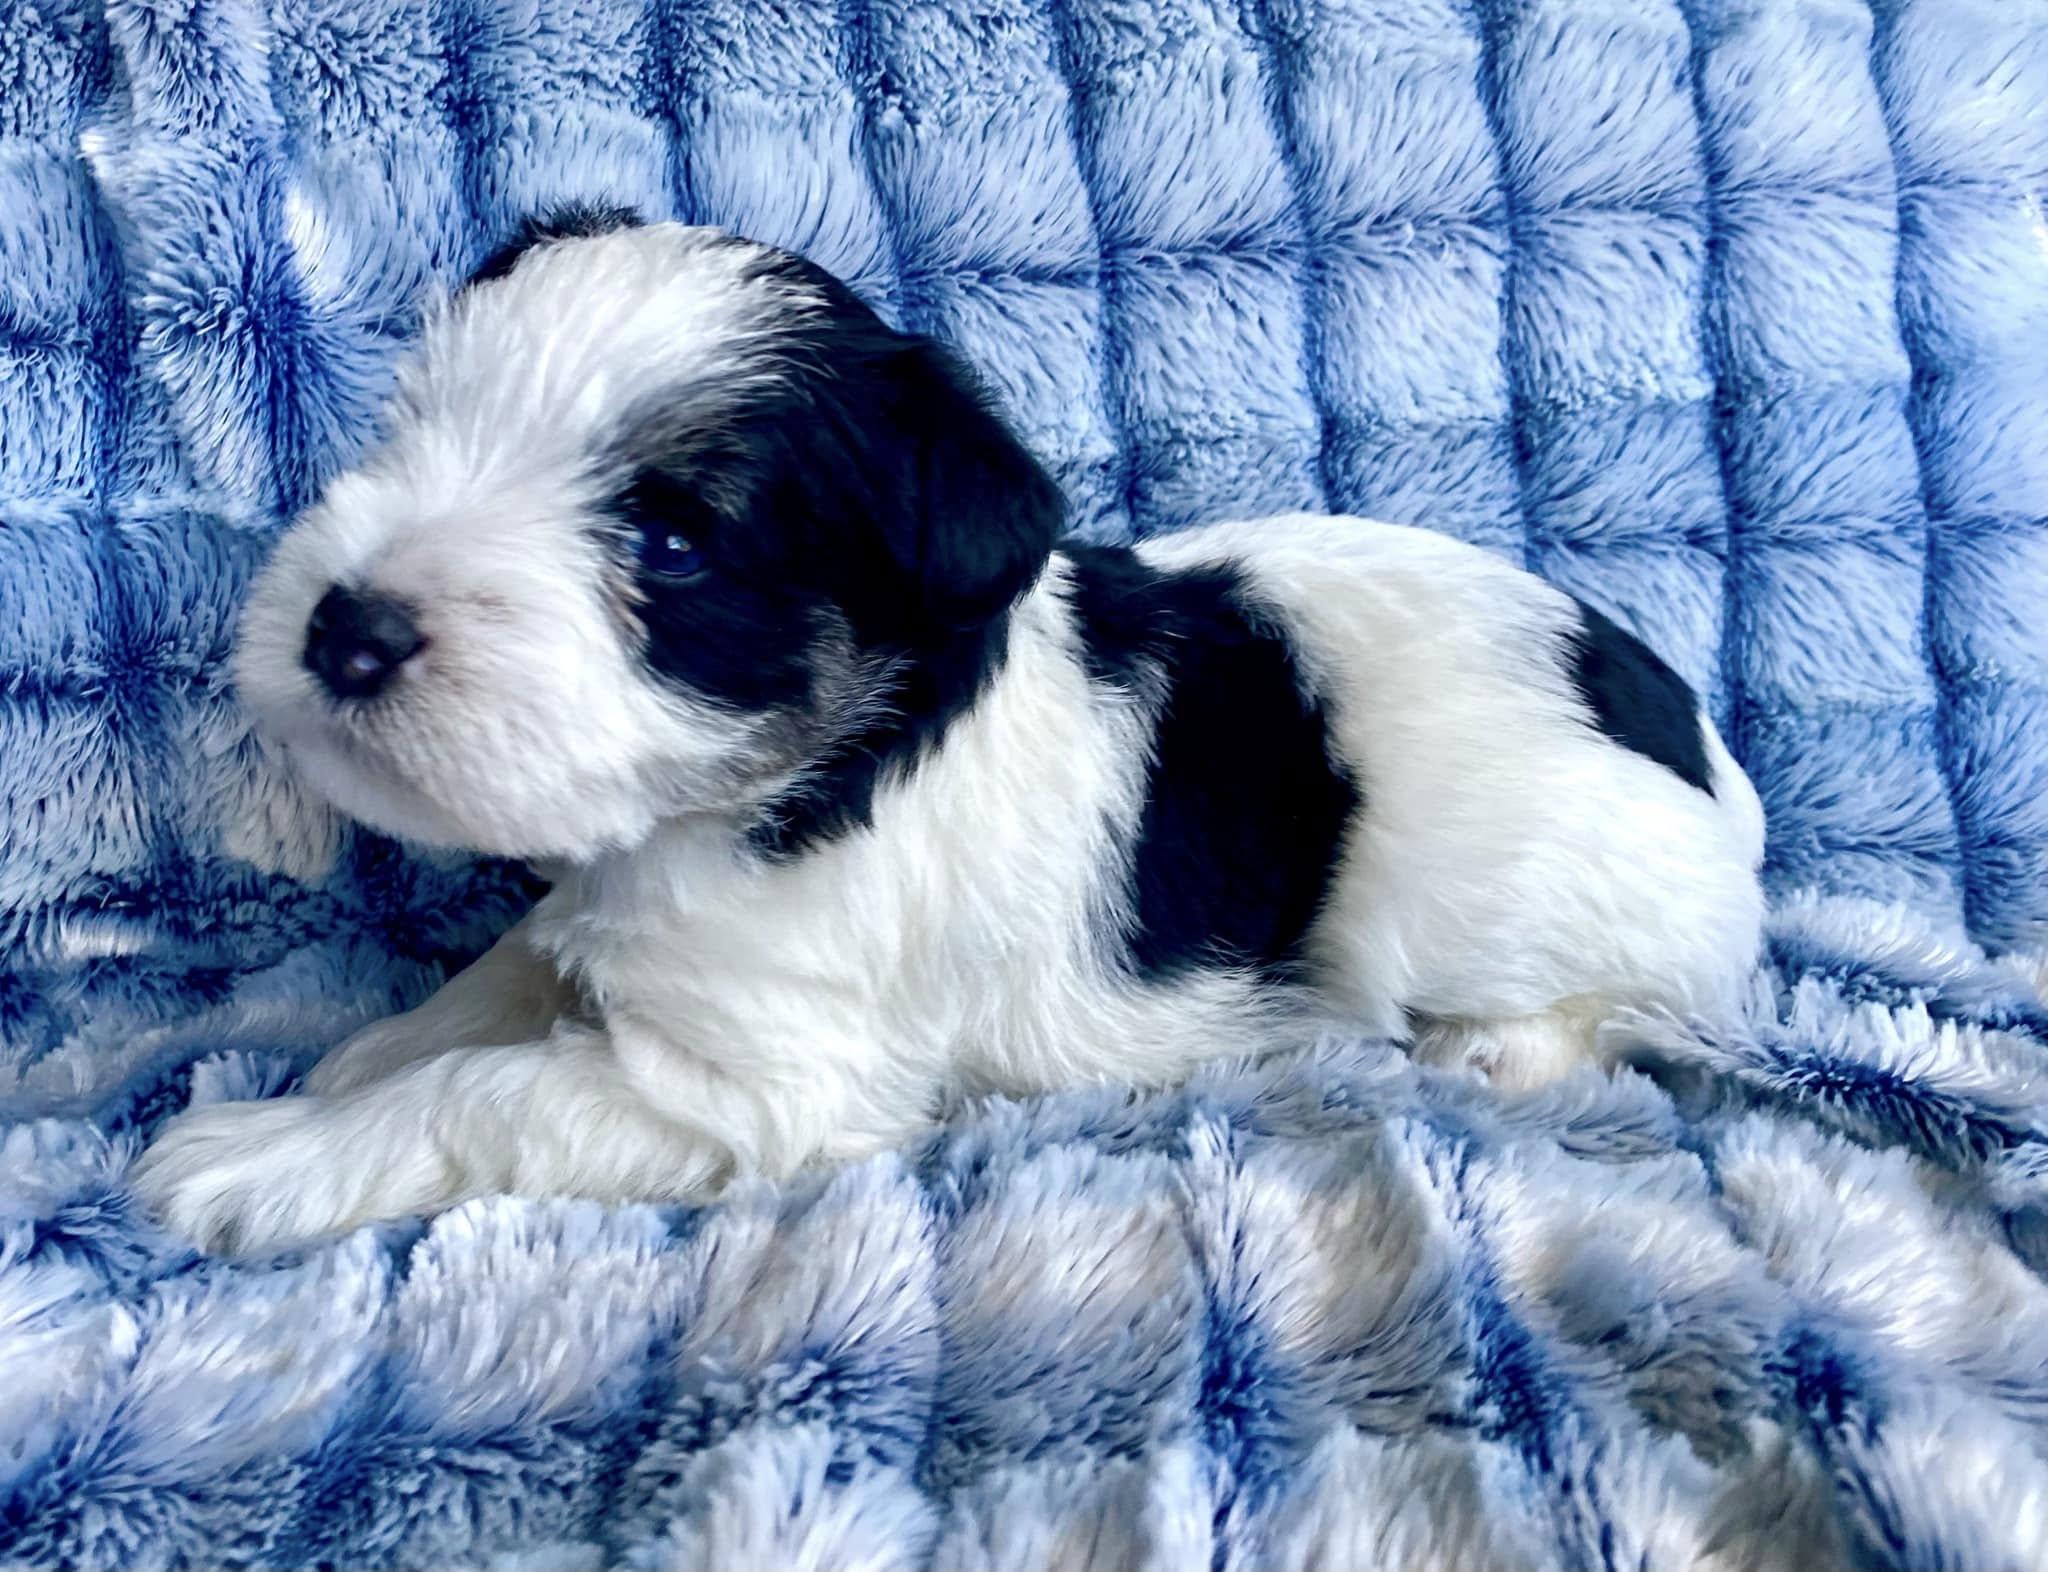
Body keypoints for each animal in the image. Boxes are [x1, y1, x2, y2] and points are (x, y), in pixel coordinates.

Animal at [132, 210, 1766, 1254]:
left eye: (671, 542)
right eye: (410, 433)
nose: (340, 629)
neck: (787, 779)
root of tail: (1691, 731)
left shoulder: (768, 1086)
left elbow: (487, 1093)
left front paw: (269, 1152)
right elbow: (507, 971)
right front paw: (374, 1047)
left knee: (1626, 1000)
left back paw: (1499, 1045)